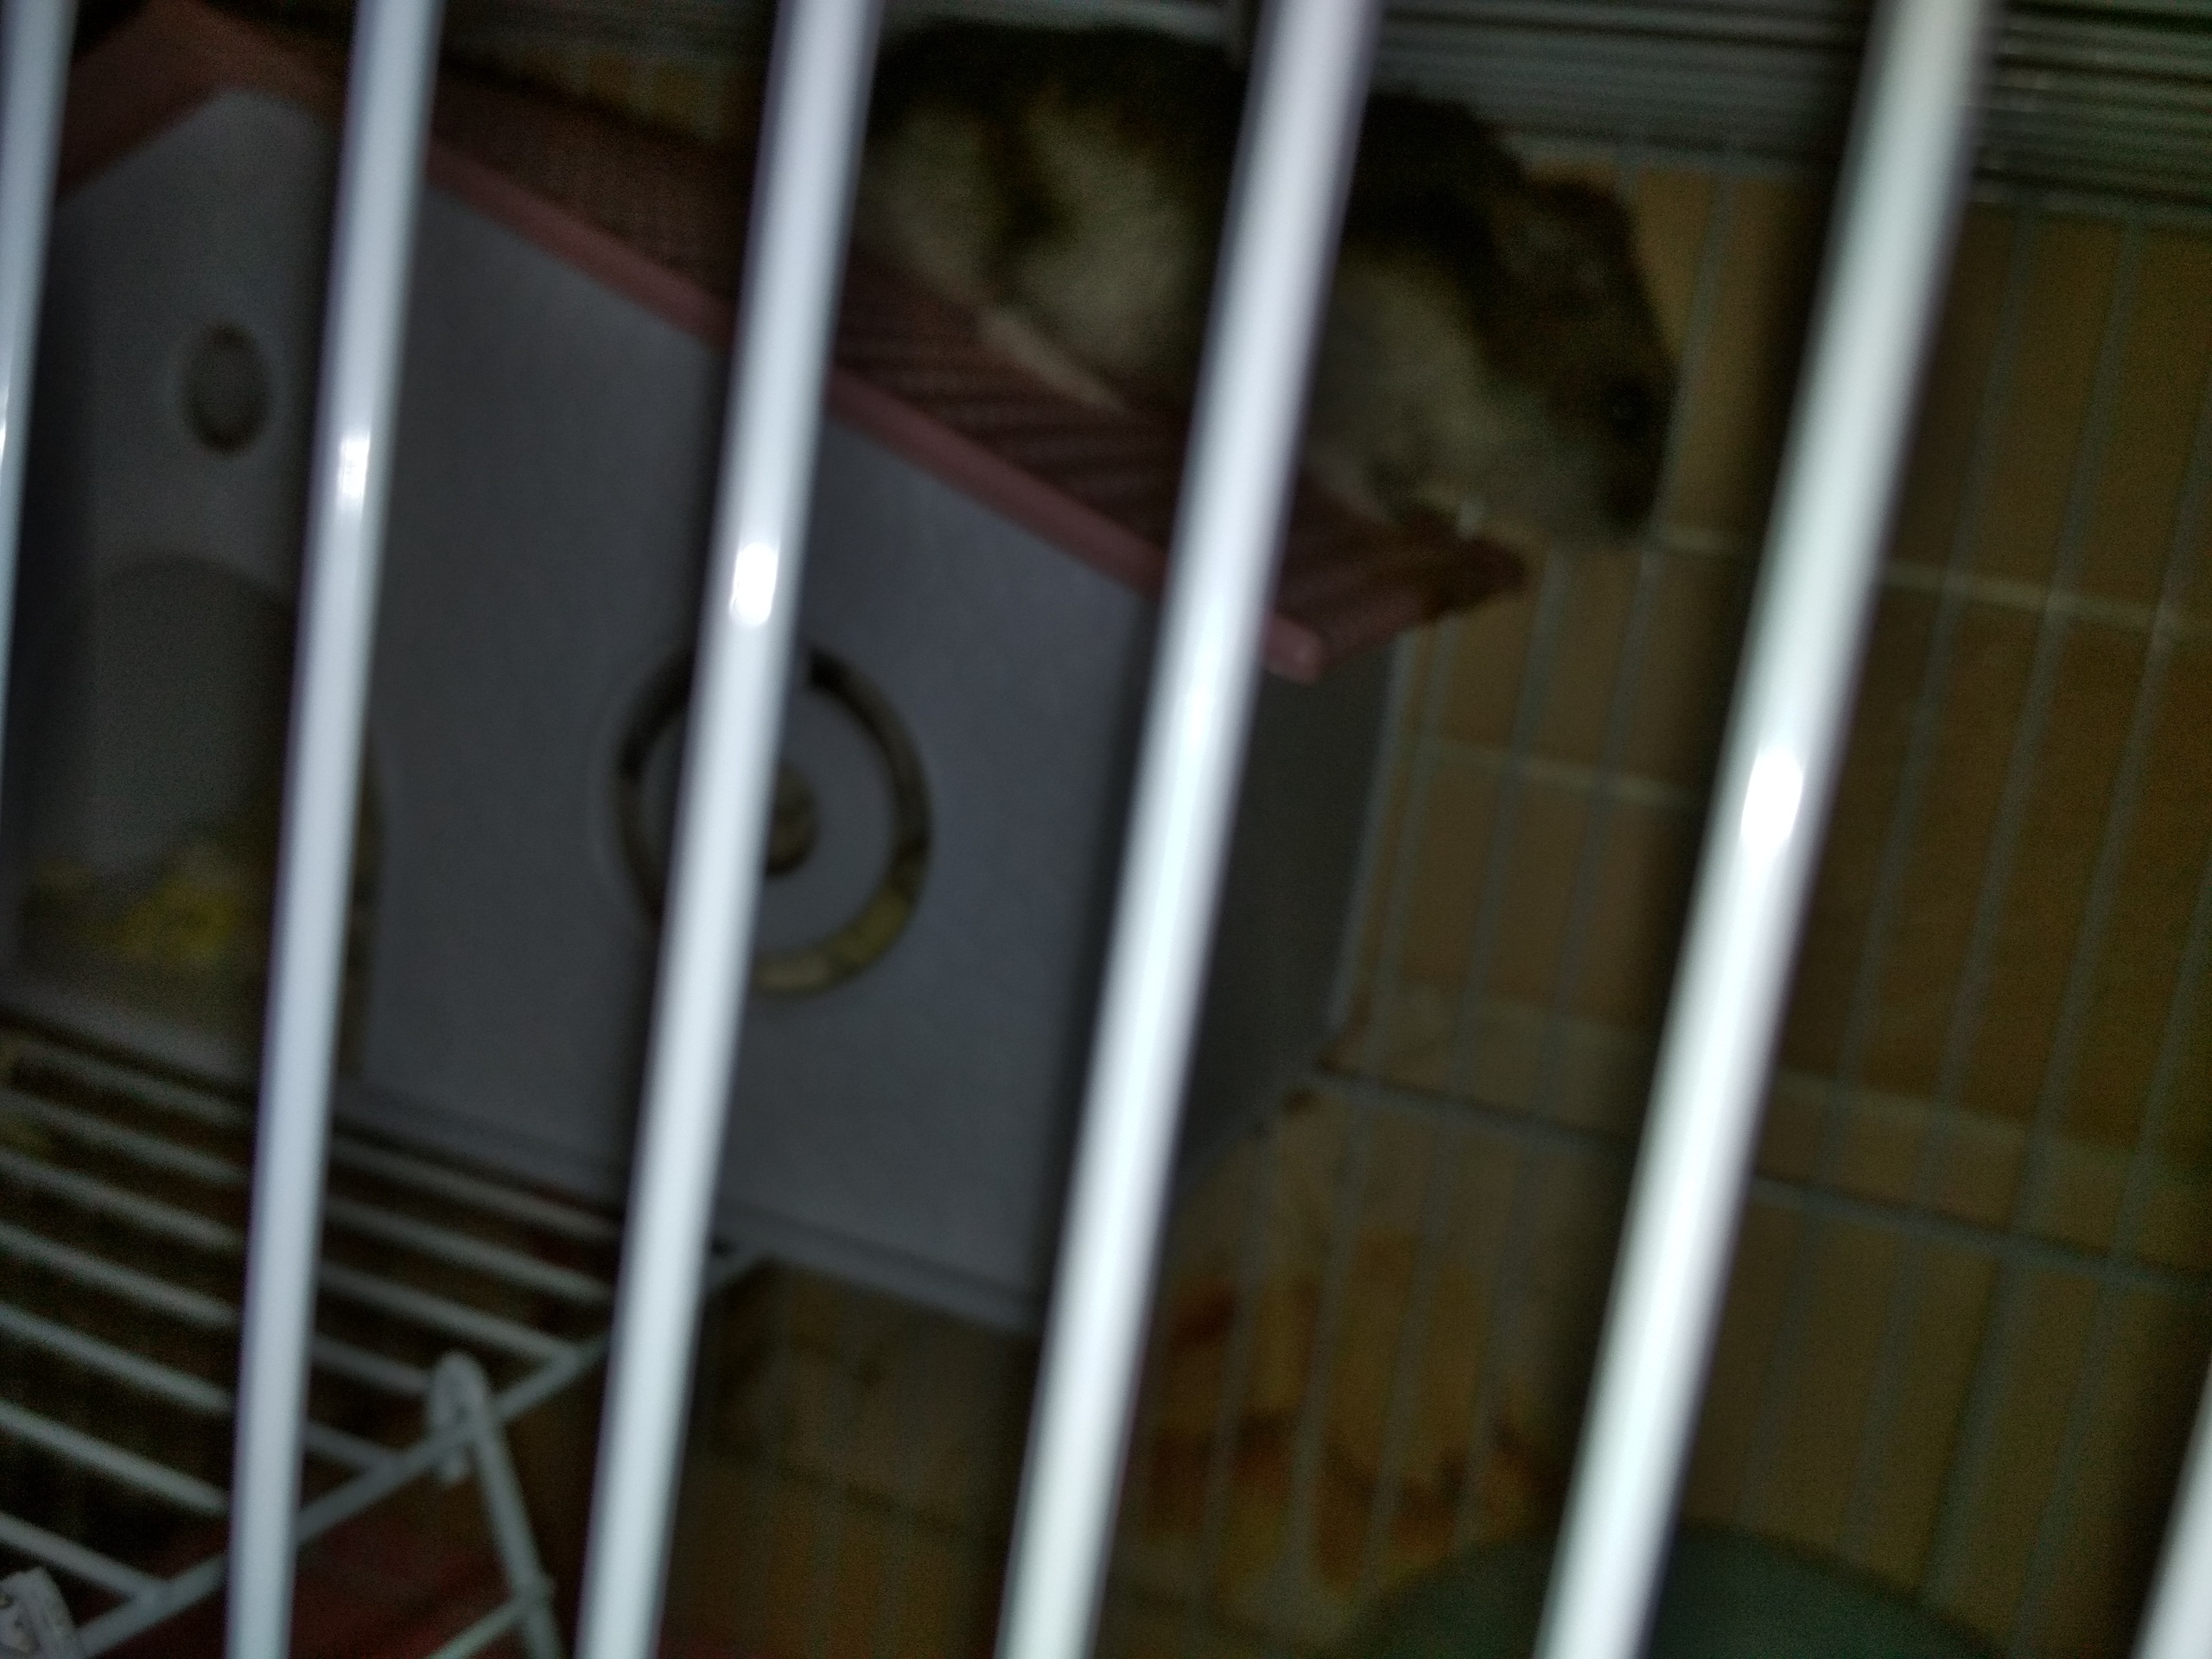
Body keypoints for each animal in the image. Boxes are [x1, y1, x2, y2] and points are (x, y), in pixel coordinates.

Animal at [854, 21, 1677, 560]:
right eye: (1627, 409)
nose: (1640, 540)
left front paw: (1413, 507)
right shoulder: (1350, 401)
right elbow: (1345, 469)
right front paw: (1391, 519)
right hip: (1102, 266)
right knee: (1007, 313)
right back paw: (1099, 394)